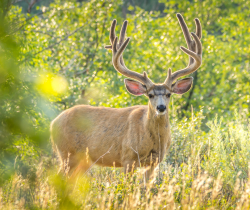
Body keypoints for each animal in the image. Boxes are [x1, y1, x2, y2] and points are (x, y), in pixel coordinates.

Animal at [50, 13, 201, 178]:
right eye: (150, 95)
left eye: (168, 94)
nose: (161, 107)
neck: (153, 140)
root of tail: (53, 123)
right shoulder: (128, 158)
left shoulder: (154, 162)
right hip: (67, 154)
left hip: (83, 160)